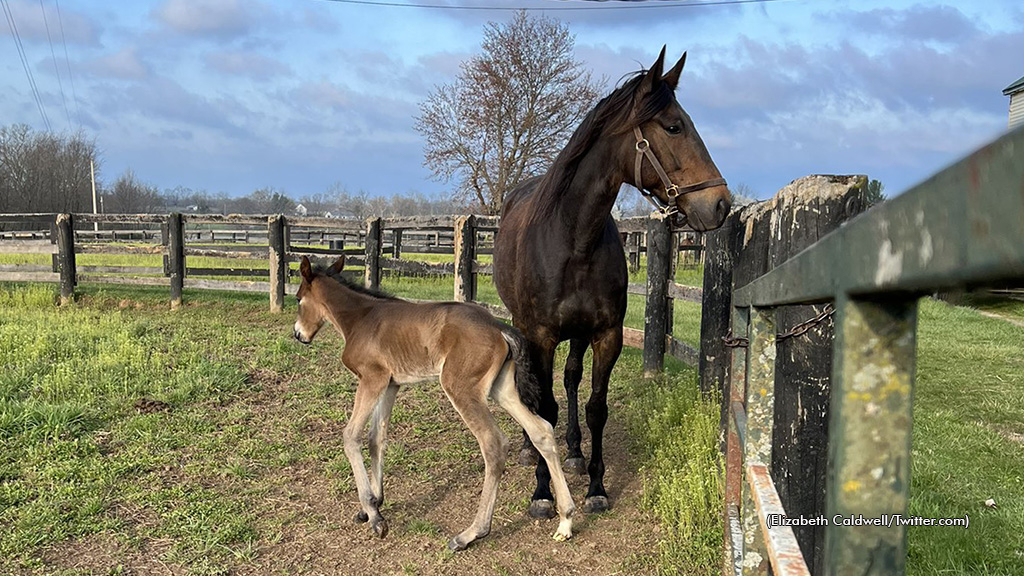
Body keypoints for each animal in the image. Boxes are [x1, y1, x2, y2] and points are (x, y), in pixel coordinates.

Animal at [290, 254, 577, 545]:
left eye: (298, 298)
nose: (298, 335)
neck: (360, 318)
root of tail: (499, 327)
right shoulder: (391, 384)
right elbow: (376, 438)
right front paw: (375, 503)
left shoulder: (372, 379)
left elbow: (351, 436)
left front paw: (374, 515)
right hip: (502, 389)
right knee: (541, 430)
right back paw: (565, 520)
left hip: (460, 387)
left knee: (493, 443)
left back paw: (472, 532)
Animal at [491, 47, 733, 512]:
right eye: (673, 126)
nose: (720, 204)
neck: (572, 240)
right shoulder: (541, 336)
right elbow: (544, 406)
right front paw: (542, 491)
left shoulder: (606, 334)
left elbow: (595, 407)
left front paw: (597, 486)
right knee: (533, 392)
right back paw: (534, 449)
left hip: (579, 334)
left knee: (570, 379)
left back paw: (571, 451)